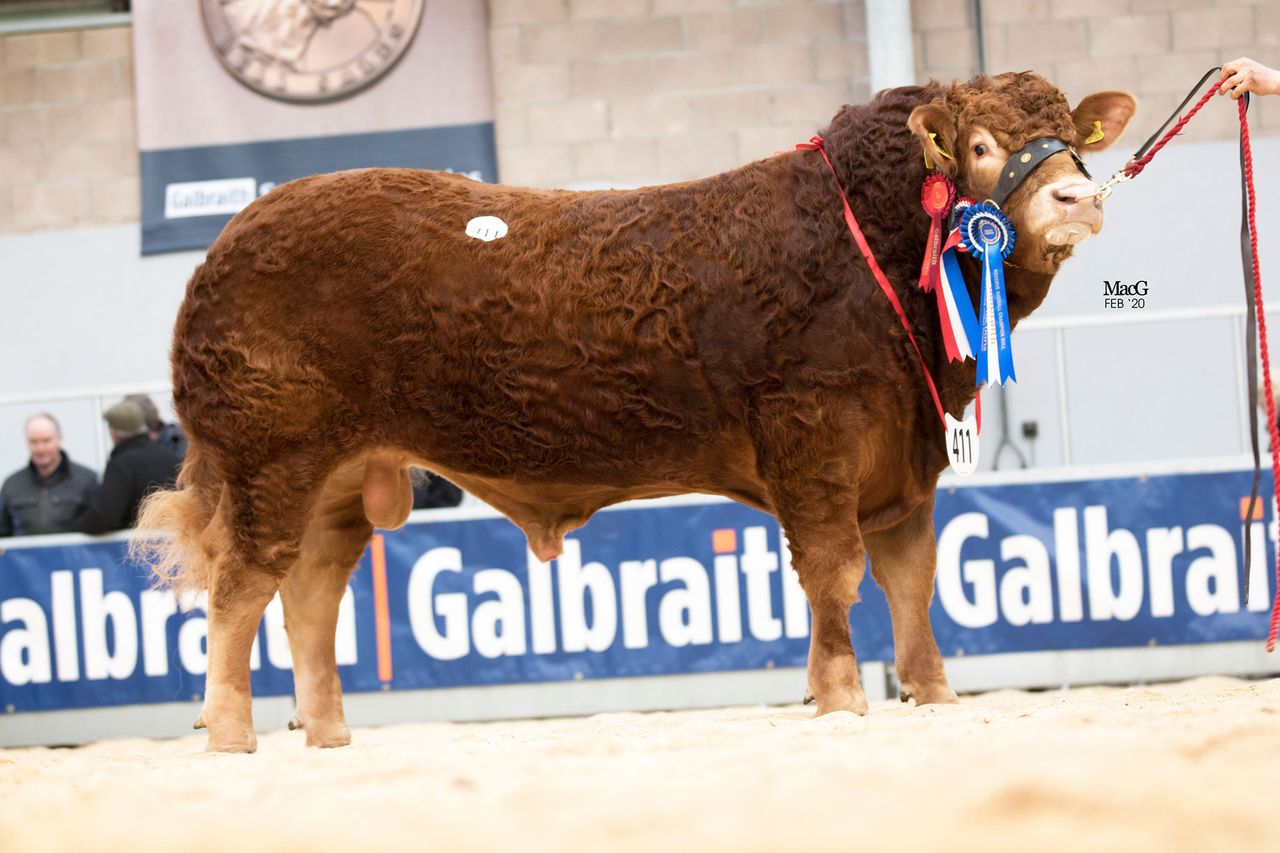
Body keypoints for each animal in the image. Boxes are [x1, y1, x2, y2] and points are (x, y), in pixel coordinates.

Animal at [135, 72, 1135, 752]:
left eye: (1070, 137)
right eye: (981, 146)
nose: (1077, 196)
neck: (865, 248)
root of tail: (232, 238)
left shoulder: (906, 459)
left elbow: (912, 579)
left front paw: (932, 696)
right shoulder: (811, 433)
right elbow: (834, 571)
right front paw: (843, 696)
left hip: (340, 477)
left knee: (309, 590)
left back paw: (329, 731)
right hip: (271, 460)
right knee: (241, 586)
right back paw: (232, 731)